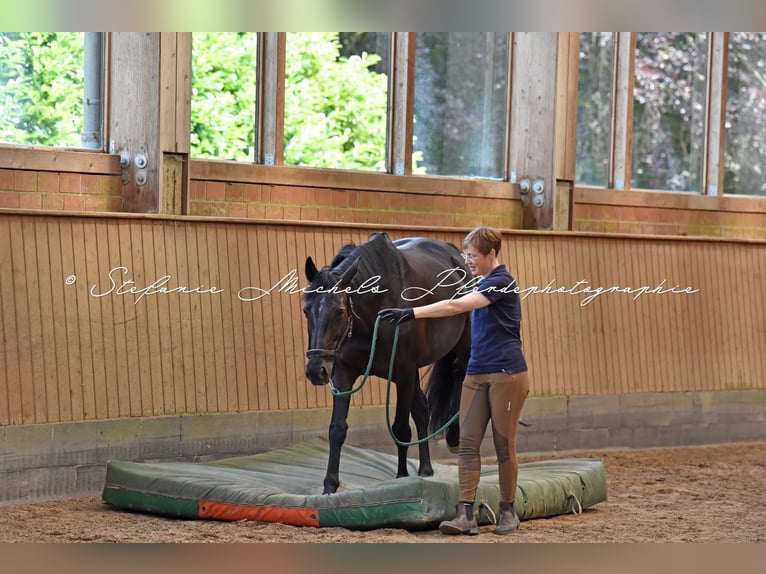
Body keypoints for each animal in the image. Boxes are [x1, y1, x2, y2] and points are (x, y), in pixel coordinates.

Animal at [303, 232, 473, 494]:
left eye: (339, 311)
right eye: (306, 310)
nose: (316, 371)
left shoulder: (403, 371)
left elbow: (400, 428)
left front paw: (402, 477)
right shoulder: (343, 372)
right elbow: (337, 429)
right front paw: (330, 485)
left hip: (461, 346)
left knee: (459, 372)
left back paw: (454, 436)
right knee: (422, 411)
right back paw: (426, 469)